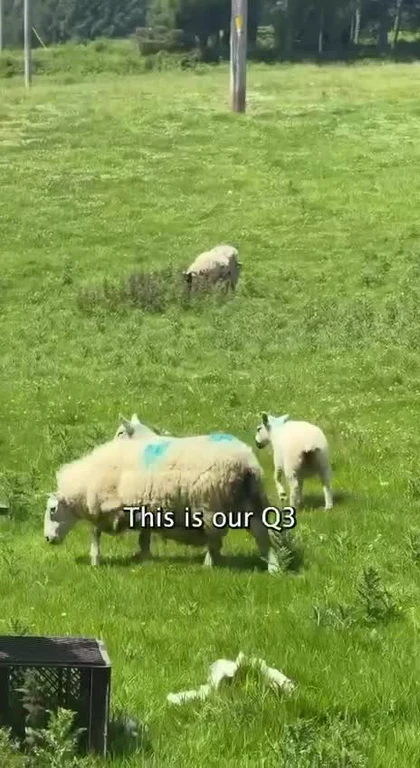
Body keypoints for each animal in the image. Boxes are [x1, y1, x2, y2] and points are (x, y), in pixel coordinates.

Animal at [44, 430, 280, 573]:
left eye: (53, 510)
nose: (47, 539)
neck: (86, 480)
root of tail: (247, 462)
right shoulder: (143, 508)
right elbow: (144, 537)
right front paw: (143, 558)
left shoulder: (103, 509)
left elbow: (94, 534)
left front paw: (95, 560)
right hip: (249, 501)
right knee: (261, 533)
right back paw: (273, 567)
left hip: (211, 505)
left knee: (214, 540)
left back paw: (208, 565)